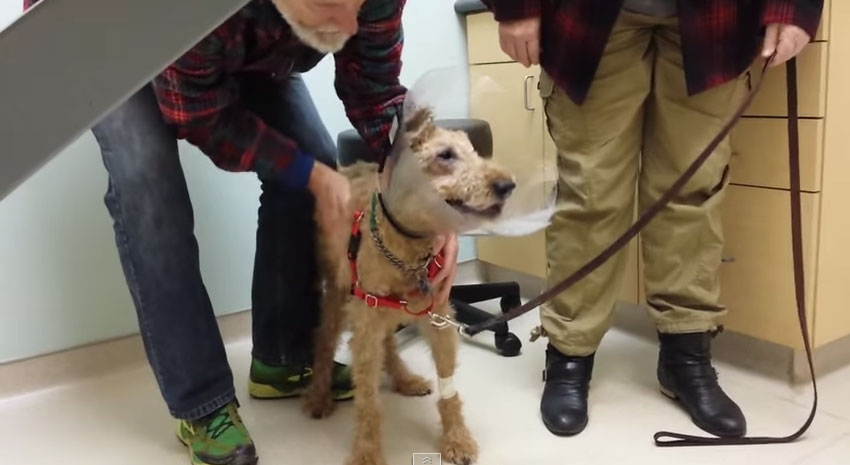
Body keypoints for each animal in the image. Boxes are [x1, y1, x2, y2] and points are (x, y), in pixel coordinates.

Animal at [303, 105, 515, 465]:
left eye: (475, 150)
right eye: (445, 155)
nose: (506, 184)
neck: (407, 243)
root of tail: (347, 166)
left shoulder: (438, 320)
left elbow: (449, 390)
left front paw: (456, 438)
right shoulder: (365, 324)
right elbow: (368, 402)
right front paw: (366, 452)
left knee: (388, 341)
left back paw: (404, 379)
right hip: (339, 296)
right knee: (324, 341)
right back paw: (319, 396)